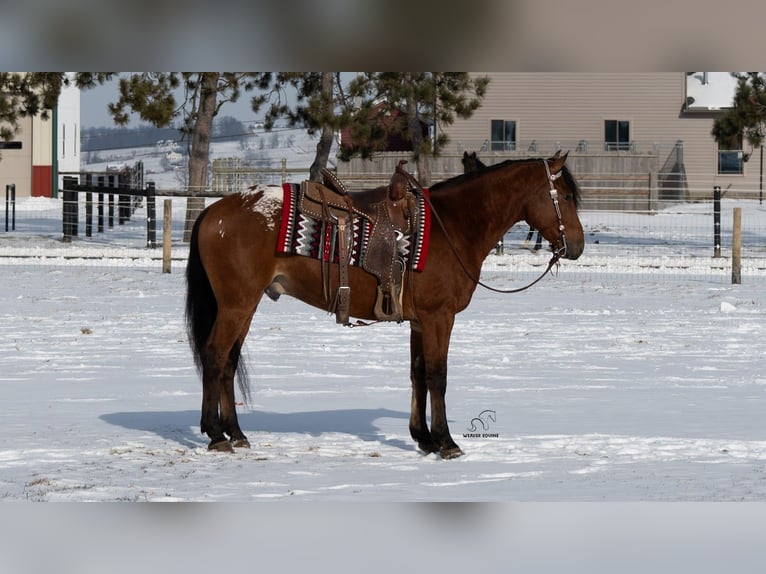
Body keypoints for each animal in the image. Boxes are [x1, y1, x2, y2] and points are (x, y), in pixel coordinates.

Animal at [185, 151, 584, 459]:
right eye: (565, 197)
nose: (578, 246)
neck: (453, 226)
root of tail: (213, 211)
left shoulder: (420, 321)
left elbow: (417, 374)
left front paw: (423, 438)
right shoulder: (439, 317)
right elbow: (437, 376)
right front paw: (446, 442)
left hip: (245, 305)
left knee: (229, 362)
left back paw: (236, 433)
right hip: (236, 304)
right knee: (215, 355)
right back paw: (216, 435)